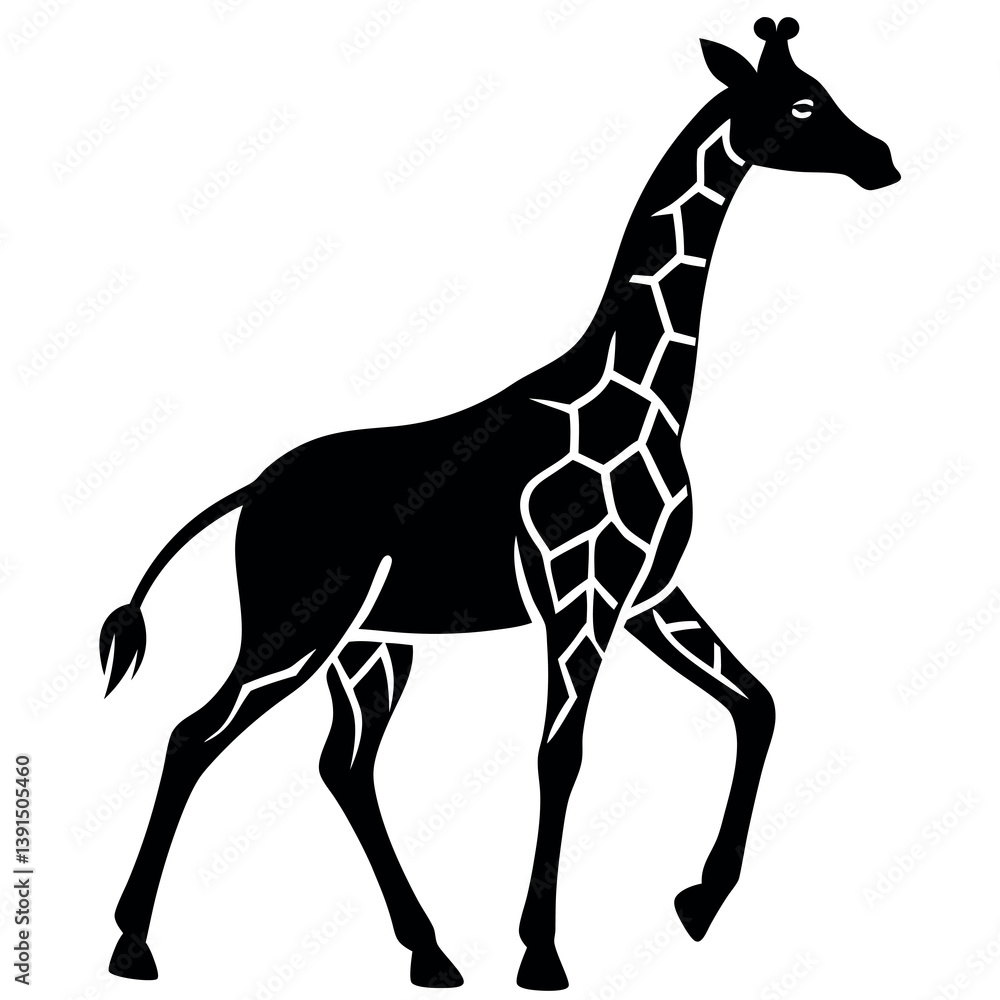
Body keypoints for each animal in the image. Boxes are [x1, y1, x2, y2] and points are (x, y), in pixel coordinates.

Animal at [97, 18, 899, 990]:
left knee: (342, 764)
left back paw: (430, 952)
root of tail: (252, 491)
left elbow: (759, 704)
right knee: (195, 734)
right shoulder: (581, 596)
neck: (642, 392)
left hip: (371, 645)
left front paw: (698, 903)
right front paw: (544, 955)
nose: (883, 159)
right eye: (804, 104)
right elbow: (563, 755)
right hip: (296, 626)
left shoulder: (649, 594)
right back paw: (133, 946)